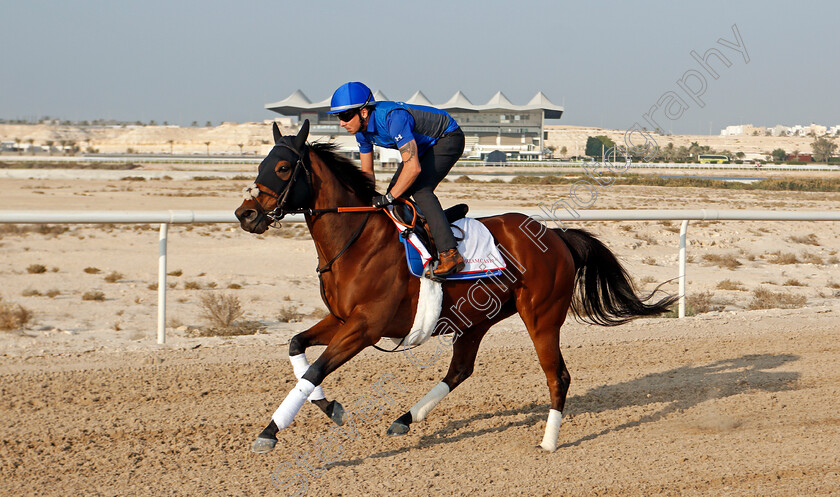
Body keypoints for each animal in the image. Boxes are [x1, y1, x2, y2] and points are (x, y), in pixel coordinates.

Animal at [231, 121, 676, 454]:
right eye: (263, 161)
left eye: (283, 168)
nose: (245, 214)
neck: (356, 241)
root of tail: (556, 235)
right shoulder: (341, 318)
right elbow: (296, 346)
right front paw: (330, 407)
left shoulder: (365, 327)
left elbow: (316, 369)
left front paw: (269, 432)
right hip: (476, 319)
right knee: (461, 369)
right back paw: (404, 420)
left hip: (542, 317)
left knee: (558, 376)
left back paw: (548, 442)